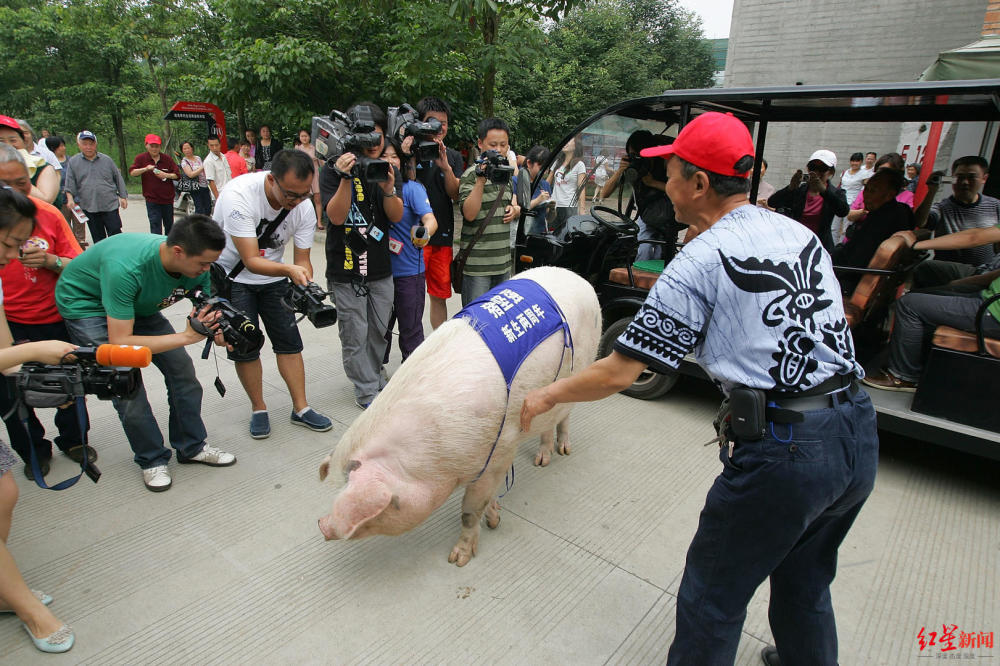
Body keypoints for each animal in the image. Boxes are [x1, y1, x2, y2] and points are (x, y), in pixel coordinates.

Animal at [320, 262, 600, 564]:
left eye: (389, 506)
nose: (322, 525)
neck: (431, 454)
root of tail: (577, 276)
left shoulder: (497, 450)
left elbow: (469, 510)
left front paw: (458, 559)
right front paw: (494, 518)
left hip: (581, 369)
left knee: (565, 415)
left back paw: (562, 452)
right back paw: (541, 461)